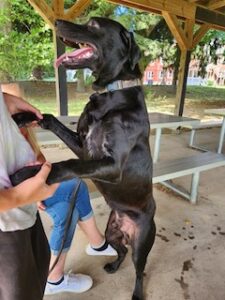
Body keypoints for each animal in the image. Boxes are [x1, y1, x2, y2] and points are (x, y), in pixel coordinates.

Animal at [11, 18, 156, 300]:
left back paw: (136, 292)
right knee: (121, 250)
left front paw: (26, 175)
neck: (109, 95)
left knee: (139, 269)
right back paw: (112, 265)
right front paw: (23, 116)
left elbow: (67, 165)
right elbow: (49, 118)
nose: (57, 21)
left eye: (94, 24)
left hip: (142, 242)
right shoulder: (84, 147)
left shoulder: (111, 165)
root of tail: (126, 224)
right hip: (112, 231)